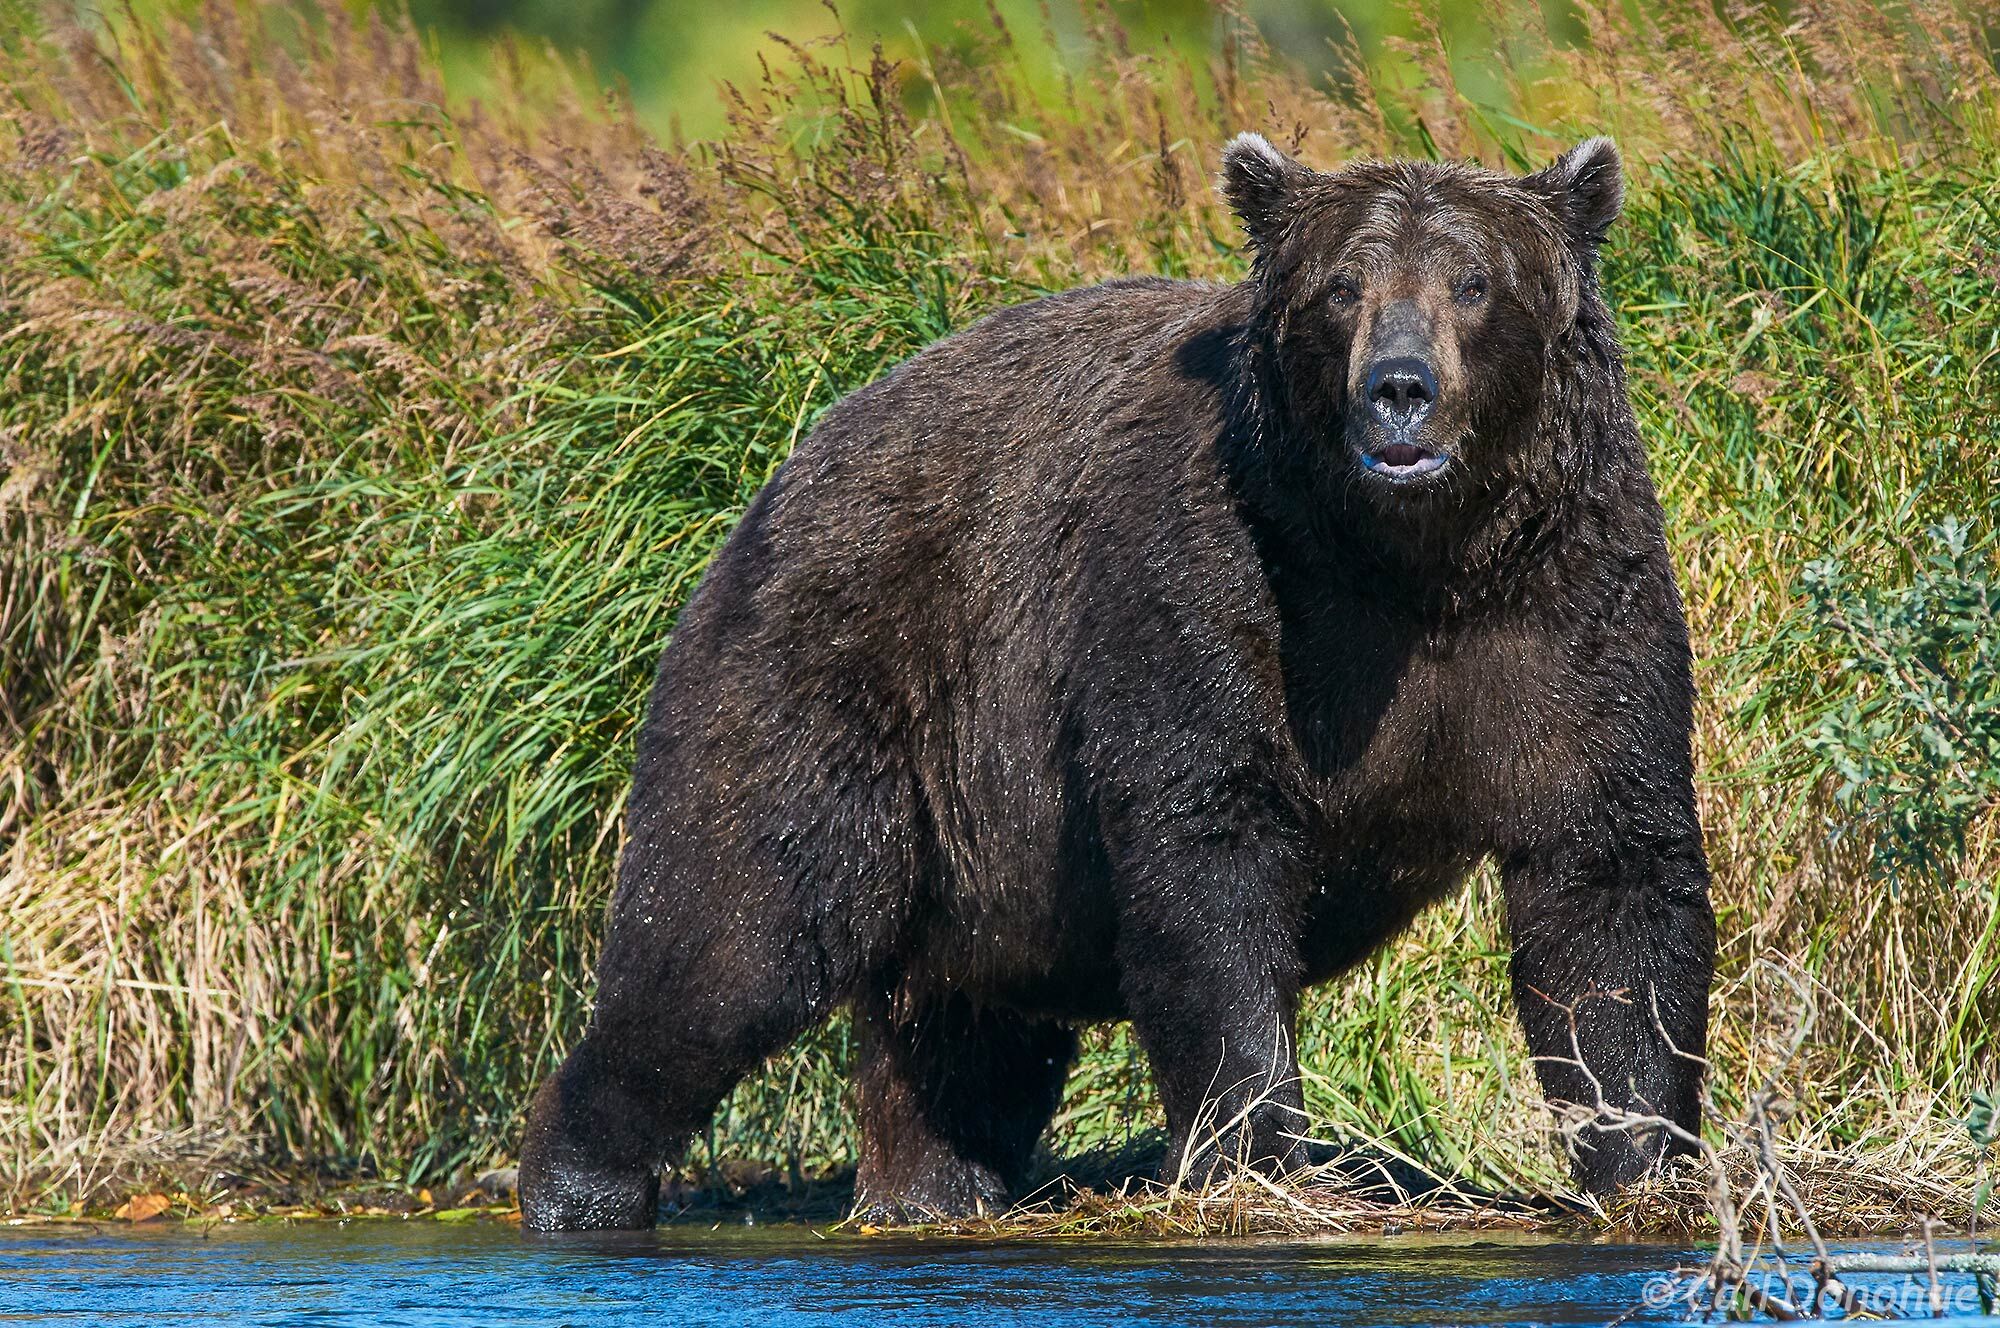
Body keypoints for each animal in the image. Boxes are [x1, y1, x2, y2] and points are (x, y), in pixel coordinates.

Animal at [516, 137, 1720, 1232]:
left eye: (1473, 281)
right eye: (1343, 286)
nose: (1398, 391)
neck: (1414, 562)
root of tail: (787, 468)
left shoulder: (1567, 605)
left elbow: (1608, 880)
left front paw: (1641, 1160)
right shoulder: (1212, 581)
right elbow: (1208, 862)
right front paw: (1263, 1158)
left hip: (978, 833)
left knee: (959, 1030)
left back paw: (928, 1188)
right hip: (835, 669)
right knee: (733, 928)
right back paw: (582, 1184)